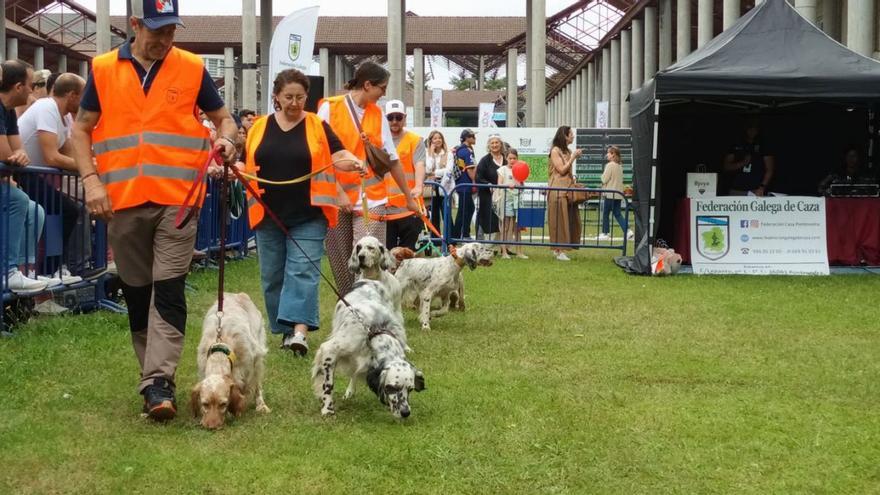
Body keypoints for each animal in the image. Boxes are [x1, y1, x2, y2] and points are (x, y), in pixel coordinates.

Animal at [187, 294, 266, 430]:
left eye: (223, 404)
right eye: (205, 404)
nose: (211, 427)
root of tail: (239, 294)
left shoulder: (246, 372)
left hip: (258, 357)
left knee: (258, 385)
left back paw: (261, 405)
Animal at [312, 280, 424, 418]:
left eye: (410, 389)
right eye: (392, 387)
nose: (405, 413)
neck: (374, 333)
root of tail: (368, 280)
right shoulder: (330, 350)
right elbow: (328, 384)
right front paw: (327, 409)